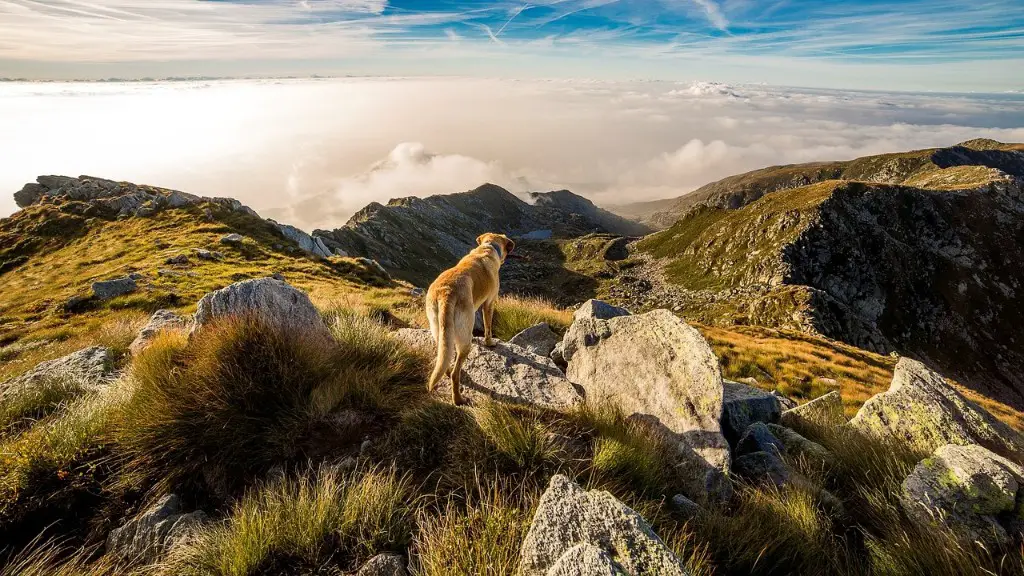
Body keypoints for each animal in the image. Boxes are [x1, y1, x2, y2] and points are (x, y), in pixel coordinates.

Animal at [425, 230, 516, 401]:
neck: (488, 247)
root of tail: (446, 293)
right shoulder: (489, 304)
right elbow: (488, 327)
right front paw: (489, 342)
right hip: (465, 339)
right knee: (455, 373)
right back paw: (458, 399)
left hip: (439, 329)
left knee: (444, 357)